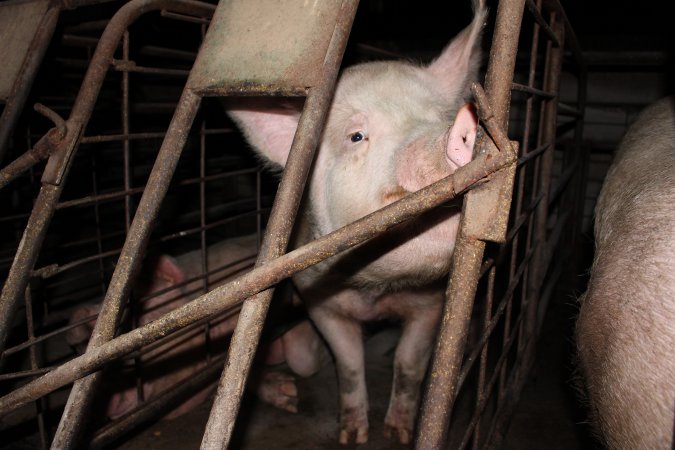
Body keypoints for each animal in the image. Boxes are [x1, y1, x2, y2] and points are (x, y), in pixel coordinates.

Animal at [67, 234, 332, 420]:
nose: (81, 315)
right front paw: (286, 393)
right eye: (80, 350)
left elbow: (304, 361)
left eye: (135, 322)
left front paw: (292, 395)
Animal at [227, 0, 486, 442]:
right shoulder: (318, 300)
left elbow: (409, 363)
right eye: (356, 136)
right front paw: (352, 435)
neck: (376, 292)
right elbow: (348, 365)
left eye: (442, 115)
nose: (459, 132)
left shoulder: (431, 304)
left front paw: (397, 434)